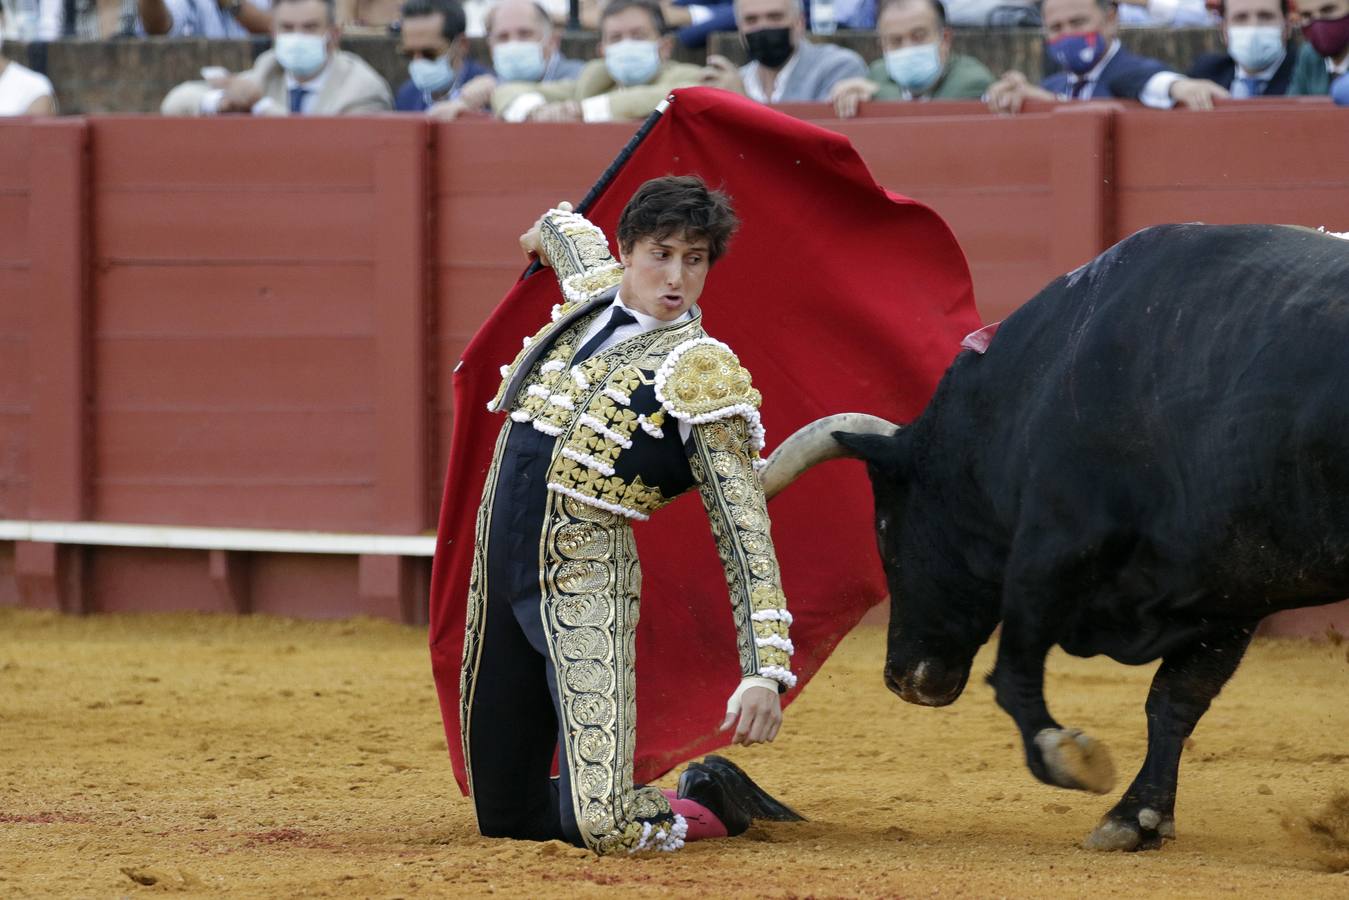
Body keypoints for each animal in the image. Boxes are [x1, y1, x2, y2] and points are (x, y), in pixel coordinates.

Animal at [766, 225, 1349, 852]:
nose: (903, 679)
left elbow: (1015, 672)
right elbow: (1176, 698)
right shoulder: (1230, 595)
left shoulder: (1052, 548)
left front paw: (1069, 758)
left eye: (884, 528)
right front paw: (1137, 817)